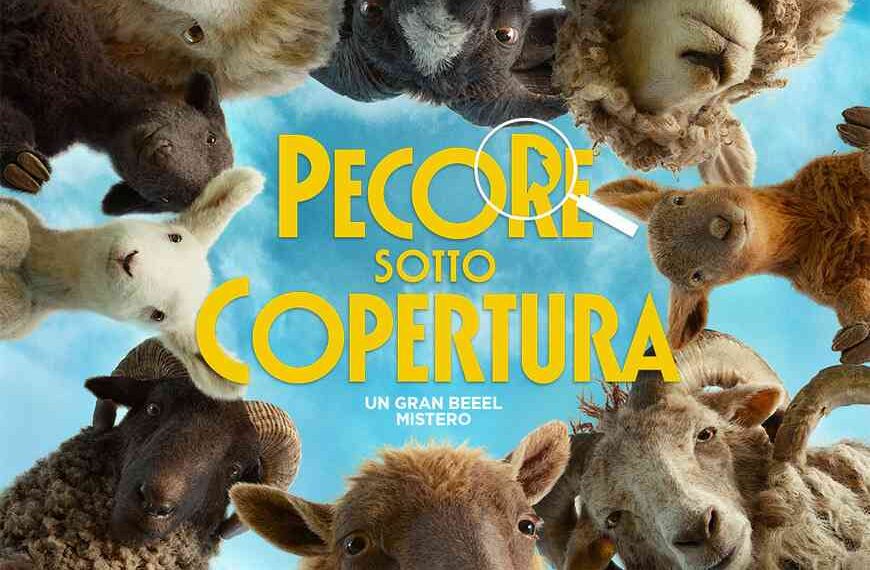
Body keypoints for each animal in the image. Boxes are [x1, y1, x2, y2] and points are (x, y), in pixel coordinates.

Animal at [593, 106, 870, 365]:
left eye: (679, 199)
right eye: (697, 277)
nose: (720, 227)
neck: (809, 223)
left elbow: (862, 165)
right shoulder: (825, 283)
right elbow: (851, 295)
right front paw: (859, 336)